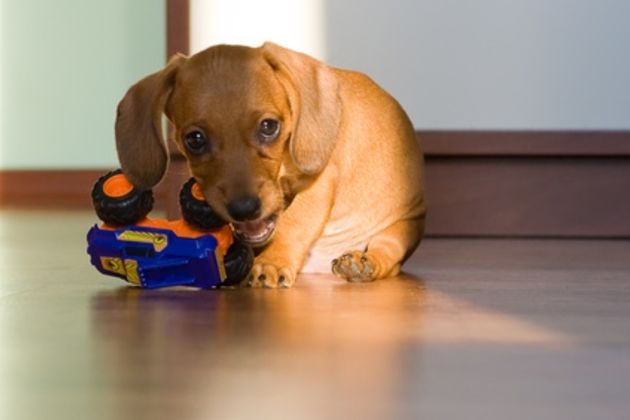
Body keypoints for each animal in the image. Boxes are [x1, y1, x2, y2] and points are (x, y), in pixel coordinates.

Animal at [116, 42, 428, 288]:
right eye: (195, 139)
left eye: (268, 126)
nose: (244, 208)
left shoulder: (320, 183)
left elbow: (294, 222)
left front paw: (272, 262)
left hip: (401, 228)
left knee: (388, 255)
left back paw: (364, 262)